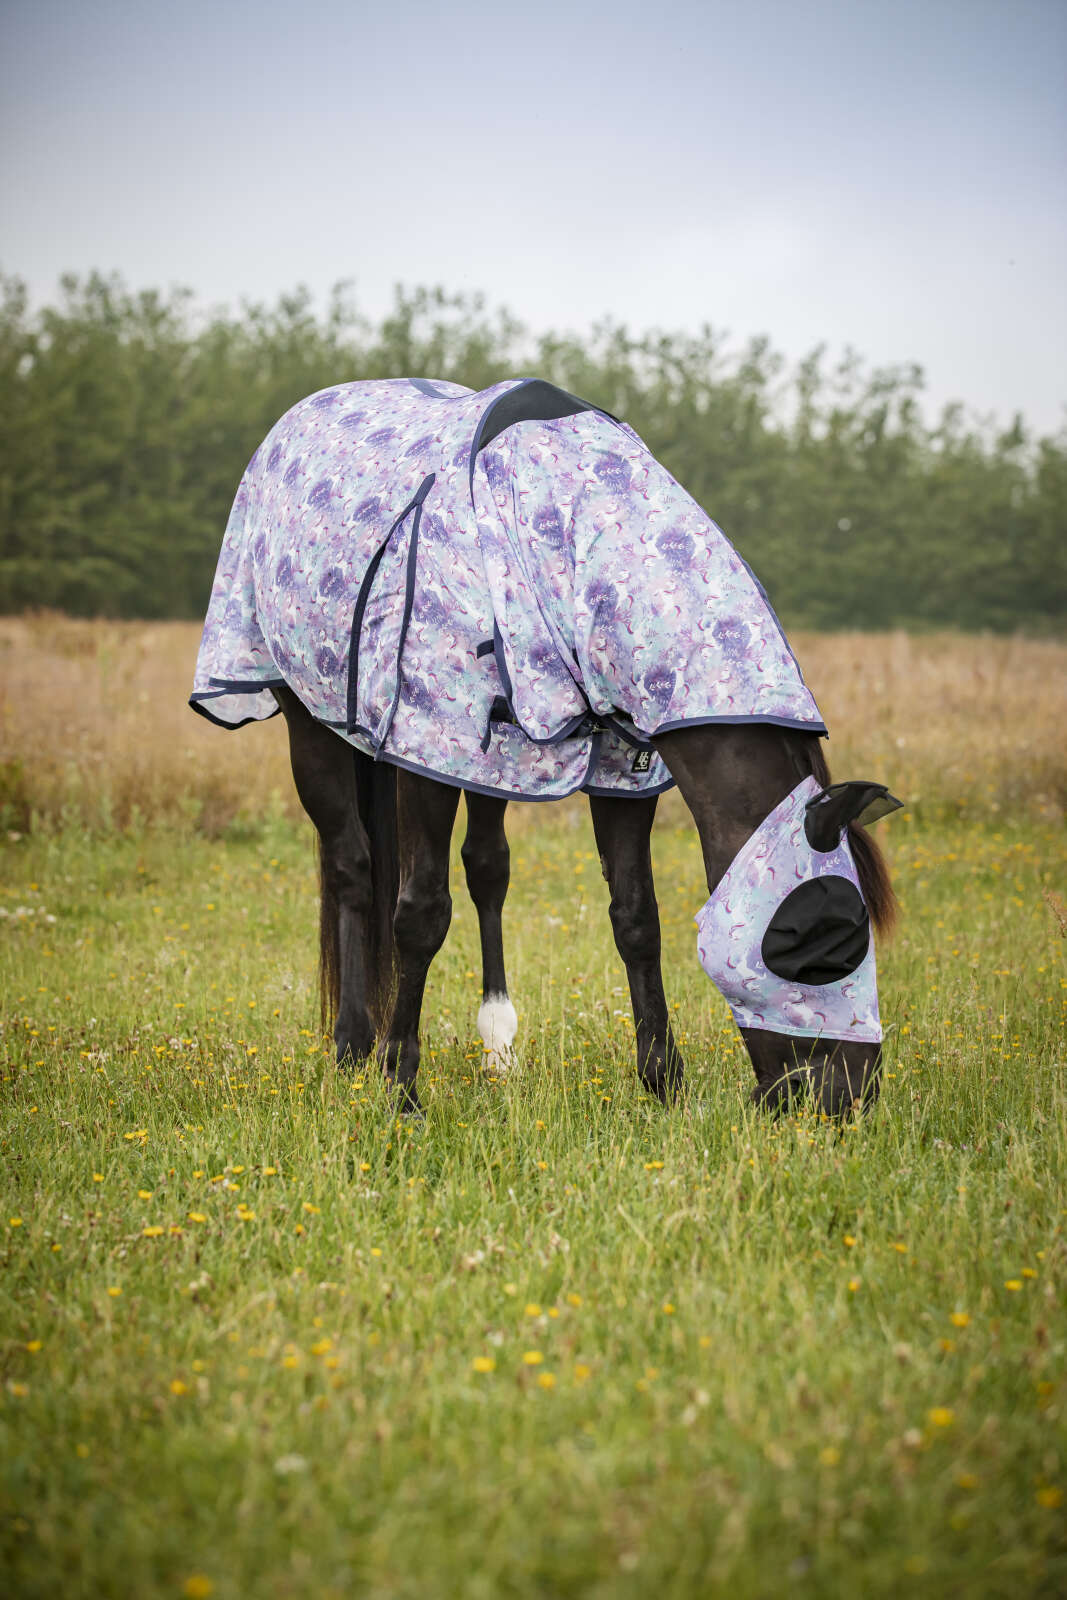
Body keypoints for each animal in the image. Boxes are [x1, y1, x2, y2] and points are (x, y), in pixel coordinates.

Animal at [191, 376, 899, 1118]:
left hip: (496, 765)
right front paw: (400, 1088)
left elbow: (636, 916)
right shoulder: (429, 750)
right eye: (822, 935)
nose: (849, 1099)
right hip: (312, 719)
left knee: (486, 867)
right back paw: (353, 1046)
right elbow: (419, 913)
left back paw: (497, 1043)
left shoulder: (623, 769)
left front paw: (663, 1081)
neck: (566, 536)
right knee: (352, 866)